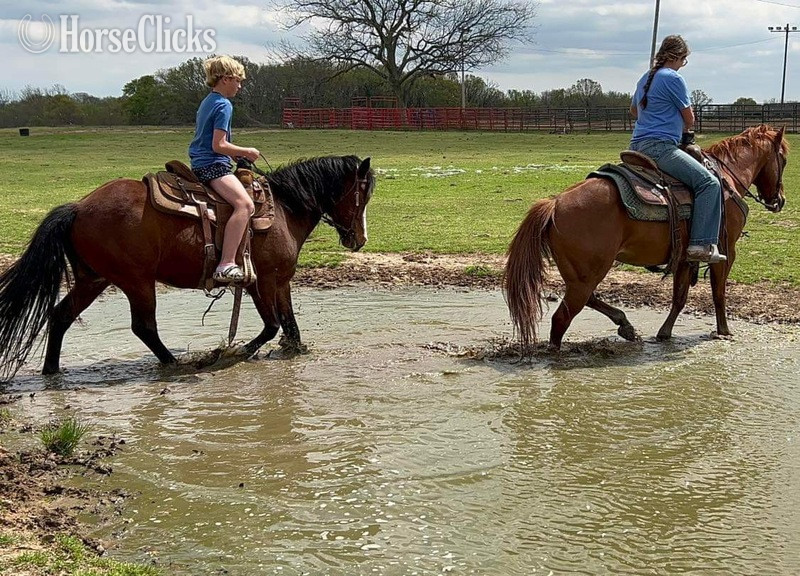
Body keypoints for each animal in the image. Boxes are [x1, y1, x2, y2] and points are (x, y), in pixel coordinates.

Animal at [0, 155, 375, 382]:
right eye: (363, 194)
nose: (359, 239)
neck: (282, 209)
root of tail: (79, 207)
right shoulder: (262, 282)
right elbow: (271, 326)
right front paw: (227, 352)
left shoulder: (281, 282)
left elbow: (291, 329)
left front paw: (292, 352)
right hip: (136, 281)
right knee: (144, 327)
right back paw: (175, 363)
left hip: (94, 279)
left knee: (60, 315)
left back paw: (52, 372)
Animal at [504, 125, 789, 350]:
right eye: (784, 160)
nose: (780, 200)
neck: (727, 180)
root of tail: (554, 204)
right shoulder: (726, 250)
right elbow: (718, 293)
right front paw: (724, 331)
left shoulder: (685, 258)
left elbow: (679, 297)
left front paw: (664, 333)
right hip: (586, 277)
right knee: (561, 319)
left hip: (580, 276)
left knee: (589, 299)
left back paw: (626, 326)